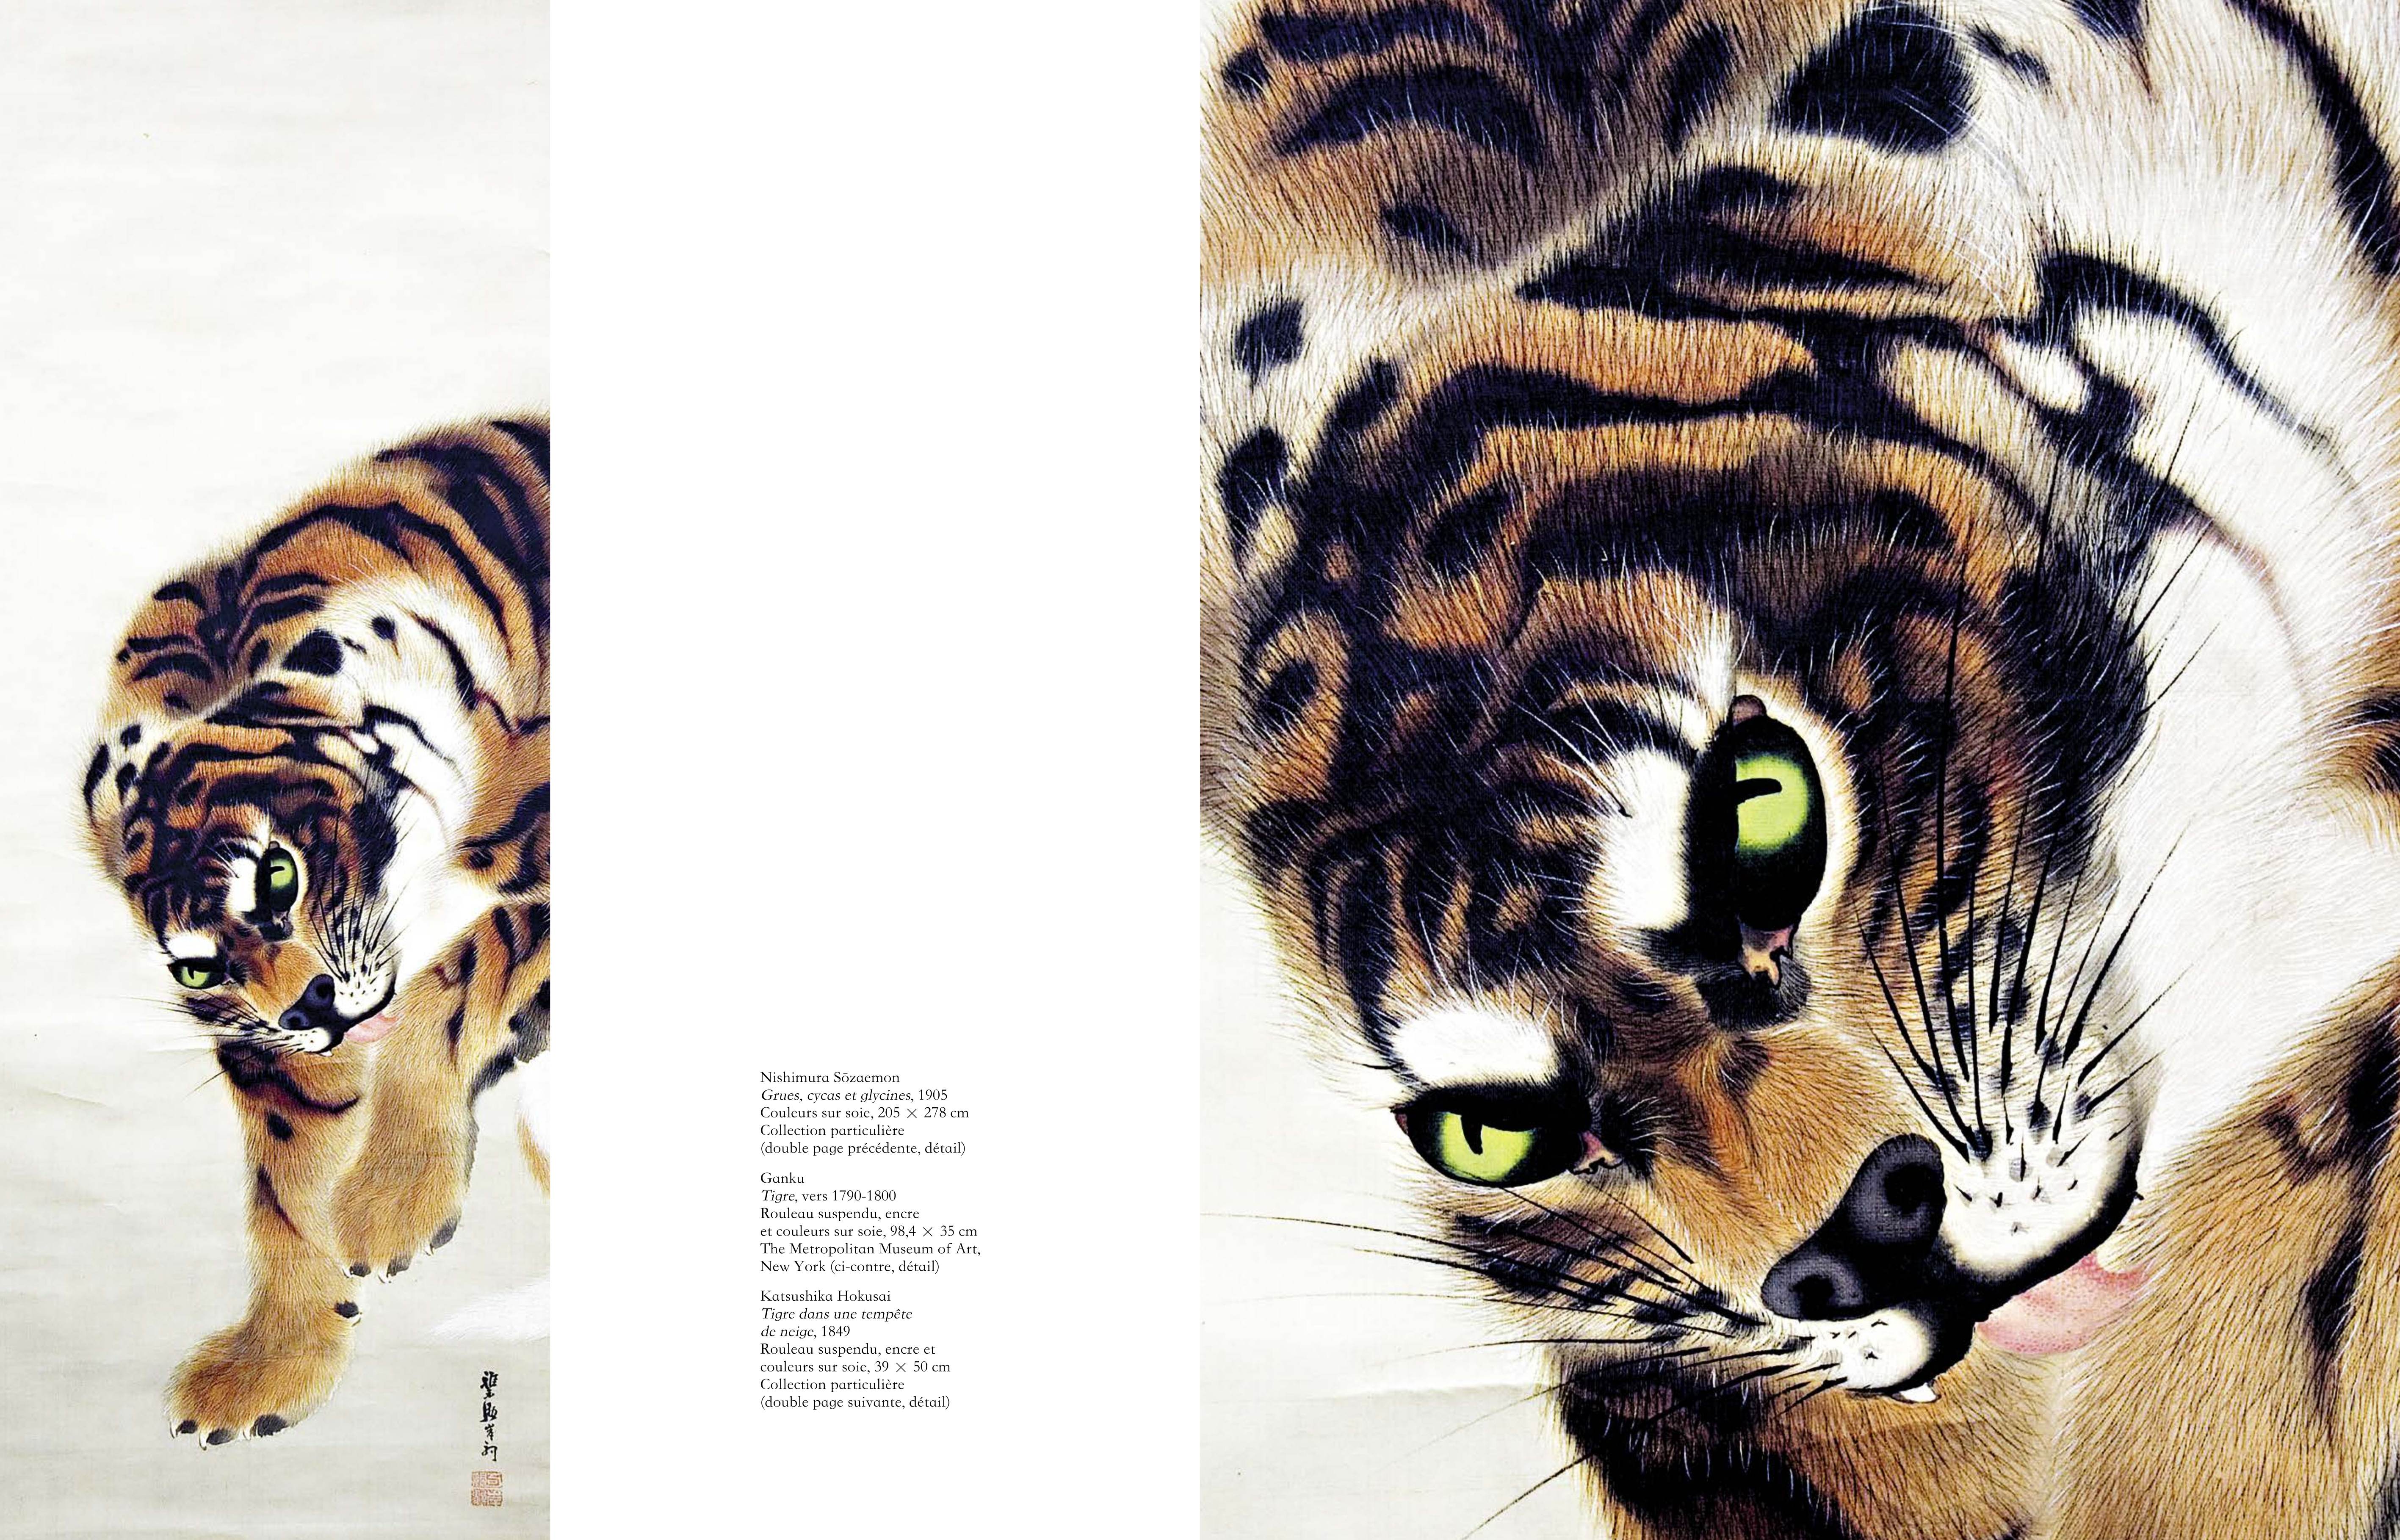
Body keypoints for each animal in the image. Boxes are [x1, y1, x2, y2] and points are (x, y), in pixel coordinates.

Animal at [80, 416, 550, 1446]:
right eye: (200, 971)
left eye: (278, 876)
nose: (312, 1012)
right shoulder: (270, 1055)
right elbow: (282, 1196)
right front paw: (271, 1366)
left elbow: (458, 977)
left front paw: (389, 1205)